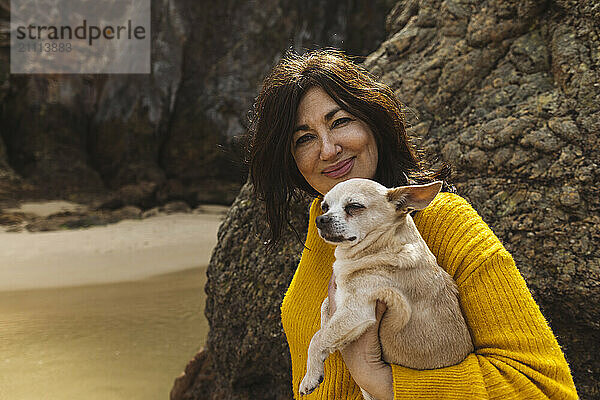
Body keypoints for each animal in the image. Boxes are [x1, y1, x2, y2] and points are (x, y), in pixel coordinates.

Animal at [300, 180, 474, 398]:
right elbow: (325, 311)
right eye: (325, 207)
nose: (320, 219)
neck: (380, 246)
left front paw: (311, 376)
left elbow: (317, 338)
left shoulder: (356, 311)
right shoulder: (341, 299)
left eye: (354, 206)